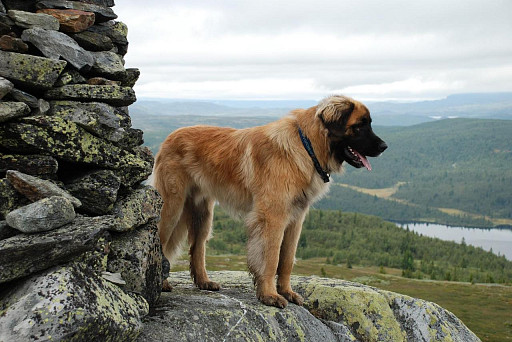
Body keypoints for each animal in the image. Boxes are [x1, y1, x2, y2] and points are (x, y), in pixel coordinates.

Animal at [154, 95, 386, 308]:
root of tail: (169, 138)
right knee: (161, 241)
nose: (384, 146)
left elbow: (287, 260)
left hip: (203, 214)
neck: (306, 145)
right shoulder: (272, 218)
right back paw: (162, 283)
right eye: (359, 126)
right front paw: (269, 295)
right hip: (172, 207)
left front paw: (286, 292)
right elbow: (271, 259)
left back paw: (204, 281)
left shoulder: (295, 219)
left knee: (198, 246)